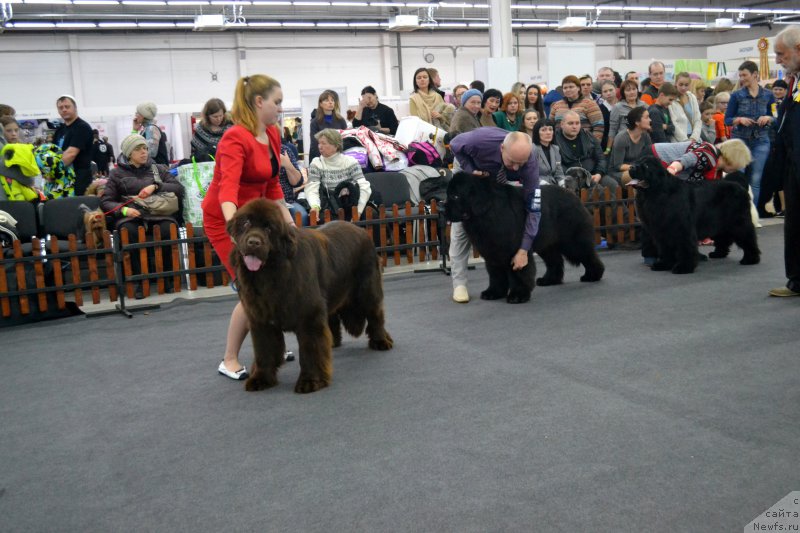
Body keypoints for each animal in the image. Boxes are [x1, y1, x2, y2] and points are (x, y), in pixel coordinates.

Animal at [227, 197, 392, 392]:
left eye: (269, 228)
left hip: (367, 290)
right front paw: (261, 379)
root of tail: (360, 229)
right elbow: (264, 351)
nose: (253, 242)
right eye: (246, 223)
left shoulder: (309, 316)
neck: (271, 273)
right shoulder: (261, 320)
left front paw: (310, 381)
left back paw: (381, 341)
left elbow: (310, 350)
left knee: (375, 314)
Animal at [444, 171, 608, 304]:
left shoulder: (514, 250)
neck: (487, 211)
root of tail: (572, 195)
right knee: (554, 261)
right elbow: (496, 274)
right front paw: (493, 292)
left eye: (455, 196)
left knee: (588, 255)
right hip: (547, 245)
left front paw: (518, 295)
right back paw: (549, 280)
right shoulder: (492, 253)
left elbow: (519, 273)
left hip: (573, 242)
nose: (442, 208)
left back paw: (593, 275)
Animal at [628, 152, 760, 272]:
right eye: (636, 162)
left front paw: (683, 267)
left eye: (646, 166)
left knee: (748, 238)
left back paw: (751, 259)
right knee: (724, 238)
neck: (656, 192)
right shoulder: (662, 231)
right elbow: (666, 249)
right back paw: (718, 254)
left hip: (739, 222)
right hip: (720, 223)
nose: (631, 167)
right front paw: (664, 264)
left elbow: (685, 247)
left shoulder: (682, 228)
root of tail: (739, 185)